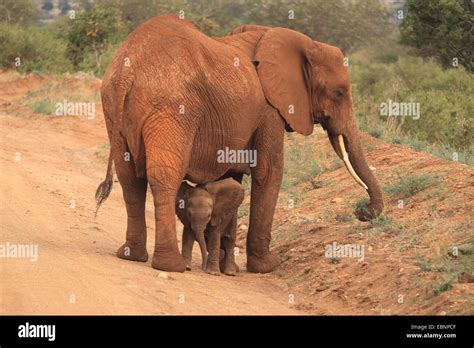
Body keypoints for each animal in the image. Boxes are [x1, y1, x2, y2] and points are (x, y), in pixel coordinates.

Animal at [94, 14, 384, 274]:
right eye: (340, 92)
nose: (362, 211)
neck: (301, 41)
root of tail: (128, 68)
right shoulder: (270, 109)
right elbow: (269, 171)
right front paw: (266, 267)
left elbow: (233, 178)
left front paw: (224, 266)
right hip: (172, 107)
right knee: (163, 176)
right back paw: (170, 265)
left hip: (112, 104)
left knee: (129, 177)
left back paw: (131, 255)